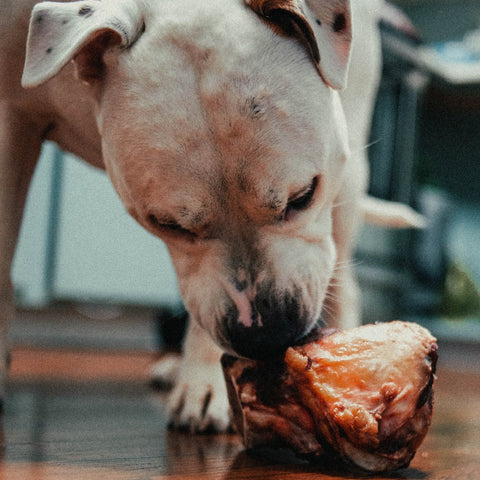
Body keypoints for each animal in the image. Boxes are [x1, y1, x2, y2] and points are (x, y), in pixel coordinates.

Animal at [0, 0, 420, 432]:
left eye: (302, 197)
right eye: (167, 224)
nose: (267, 336)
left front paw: (205, 385)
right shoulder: (13, 119)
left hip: (350, 176)